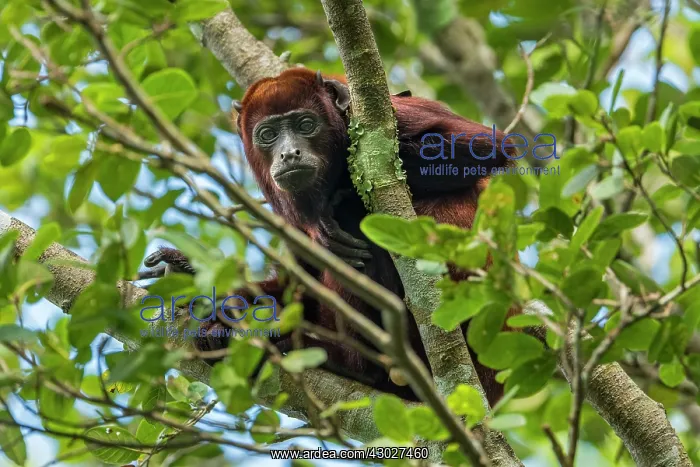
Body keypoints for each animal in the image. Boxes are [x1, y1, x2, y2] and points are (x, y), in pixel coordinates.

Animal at [140, 68, 518, 404]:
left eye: (306, 125)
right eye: (268, 133)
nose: (289, 154)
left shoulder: (391, 115)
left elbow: (487, 146)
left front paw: (328, 210)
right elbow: (297, 285)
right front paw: (192, 273)